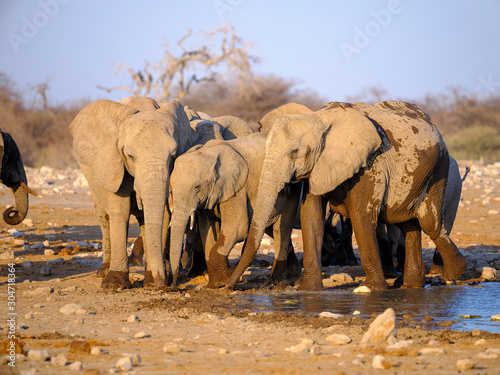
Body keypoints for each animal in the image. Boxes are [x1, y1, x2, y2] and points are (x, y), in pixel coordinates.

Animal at [70, 98, 193, 290]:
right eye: (130, 156)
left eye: (173, 156)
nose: (162, 285)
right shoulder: (114, 162)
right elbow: (120, 210)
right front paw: (114, 284)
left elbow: (163, 215)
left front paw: (150, 283)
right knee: (104, 217)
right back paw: (103, 272)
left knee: (143, 221)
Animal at [169, 134, 300, 290]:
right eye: (171, 189)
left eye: (197, 187)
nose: (174, 286)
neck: (208, 152)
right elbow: (207, 231)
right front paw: (215, 284)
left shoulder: (238, 190)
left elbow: (237, 228)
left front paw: (224, 280)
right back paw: (293, 276)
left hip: (289, 193)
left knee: (281, 229)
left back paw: (277, 283)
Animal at [229, 101, 466, 292]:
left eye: (295, 152)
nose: (228, 286)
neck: (319, 118)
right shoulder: (317, 167)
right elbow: (311, 217)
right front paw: (308, 290)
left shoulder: (369, 165)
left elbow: (361, 216)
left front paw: (372, 289)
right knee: (408, 222)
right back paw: (410, 285)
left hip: (438, 168)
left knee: (428, 222)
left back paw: (452, 274)